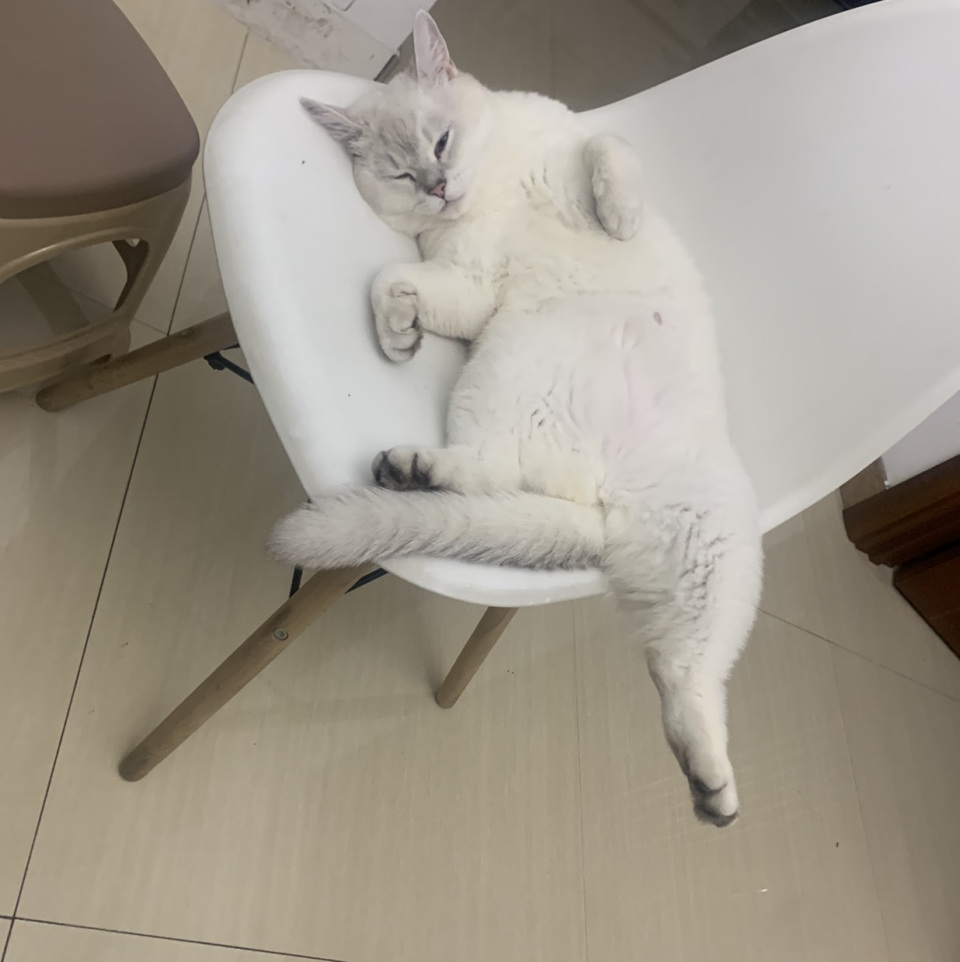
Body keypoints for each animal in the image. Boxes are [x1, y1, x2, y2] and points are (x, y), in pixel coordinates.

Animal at [272, 10, 763, 827]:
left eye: (440, 144)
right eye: (401, 174)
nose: (439, 188)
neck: (495, 184)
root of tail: (599, 509)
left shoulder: (570, 150)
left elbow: (607, 149)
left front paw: (618, 216)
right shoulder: (464, 281)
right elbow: (390, 278)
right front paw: (397, 336)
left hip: (712, 548)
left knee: (684, 672)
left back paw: (713, 788)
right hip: (501, 377)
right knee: (488, 477)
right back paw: (410, 469)